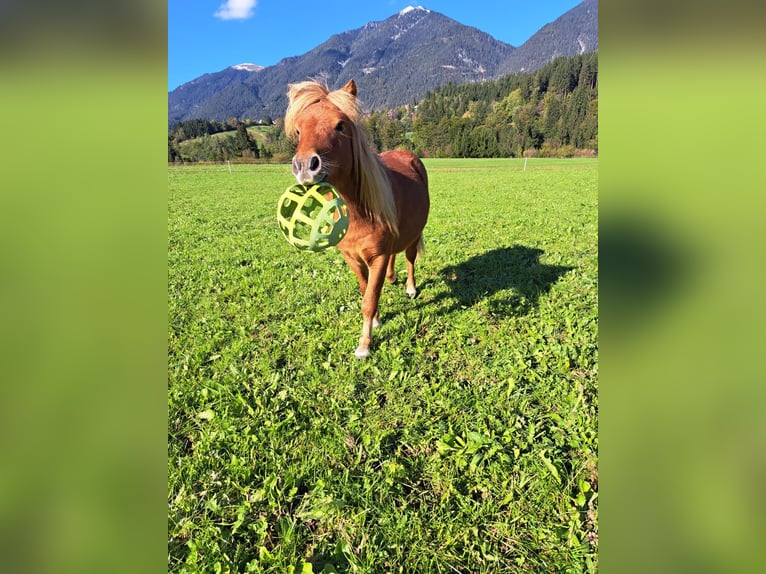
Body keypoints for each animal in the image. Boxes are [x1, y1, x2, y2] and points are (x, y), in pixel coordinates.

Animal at [286, 80, 432, 360]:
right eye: (298, 130)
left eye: (340, 125)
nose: (305, 166)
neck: (358, 215)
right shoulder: (352, 258)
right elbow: (367, 292)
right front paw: (376, 320)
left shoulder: (377, 257)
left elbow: (369, 300)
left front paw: (365, 344)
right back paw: (392, 278)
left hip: (413, 235)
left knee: (409, 259)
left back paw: (410, 287)